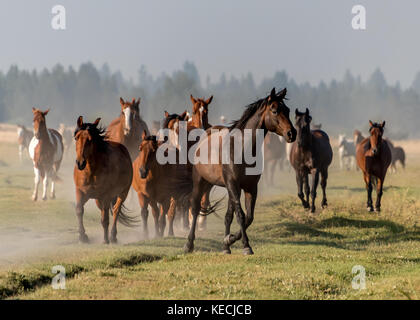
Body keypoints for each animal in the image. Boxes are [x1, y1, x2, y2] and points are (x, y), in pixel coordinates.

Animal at [73, 116, 136, 244]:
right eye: (76, 137)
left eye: (90, 140)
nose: (80, 163)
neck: (91, 172)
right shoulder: (81, 192)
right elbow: (79, 210)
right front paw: (83, 237)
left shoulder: (106, 195)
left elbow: (105, 219)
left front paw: (105, 240)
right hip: (98, 199)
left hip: (123, 193)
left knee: (116, 210)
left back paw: (113, 236)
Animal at [176, 87, 296, 255]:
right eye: (274, 110)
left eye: (288, 110)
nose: (292, 133)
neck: (242, 147)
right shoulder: (233, 183)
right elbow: (241, 215)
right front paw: (246, 246)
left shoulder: (250, 187)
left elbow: (248, 217)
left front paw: (229, 239)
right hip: (200, 181)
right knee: (195, 208)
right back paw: (189, 245)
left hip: (220, 185)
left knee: (227, 215)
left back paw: (226, 247)